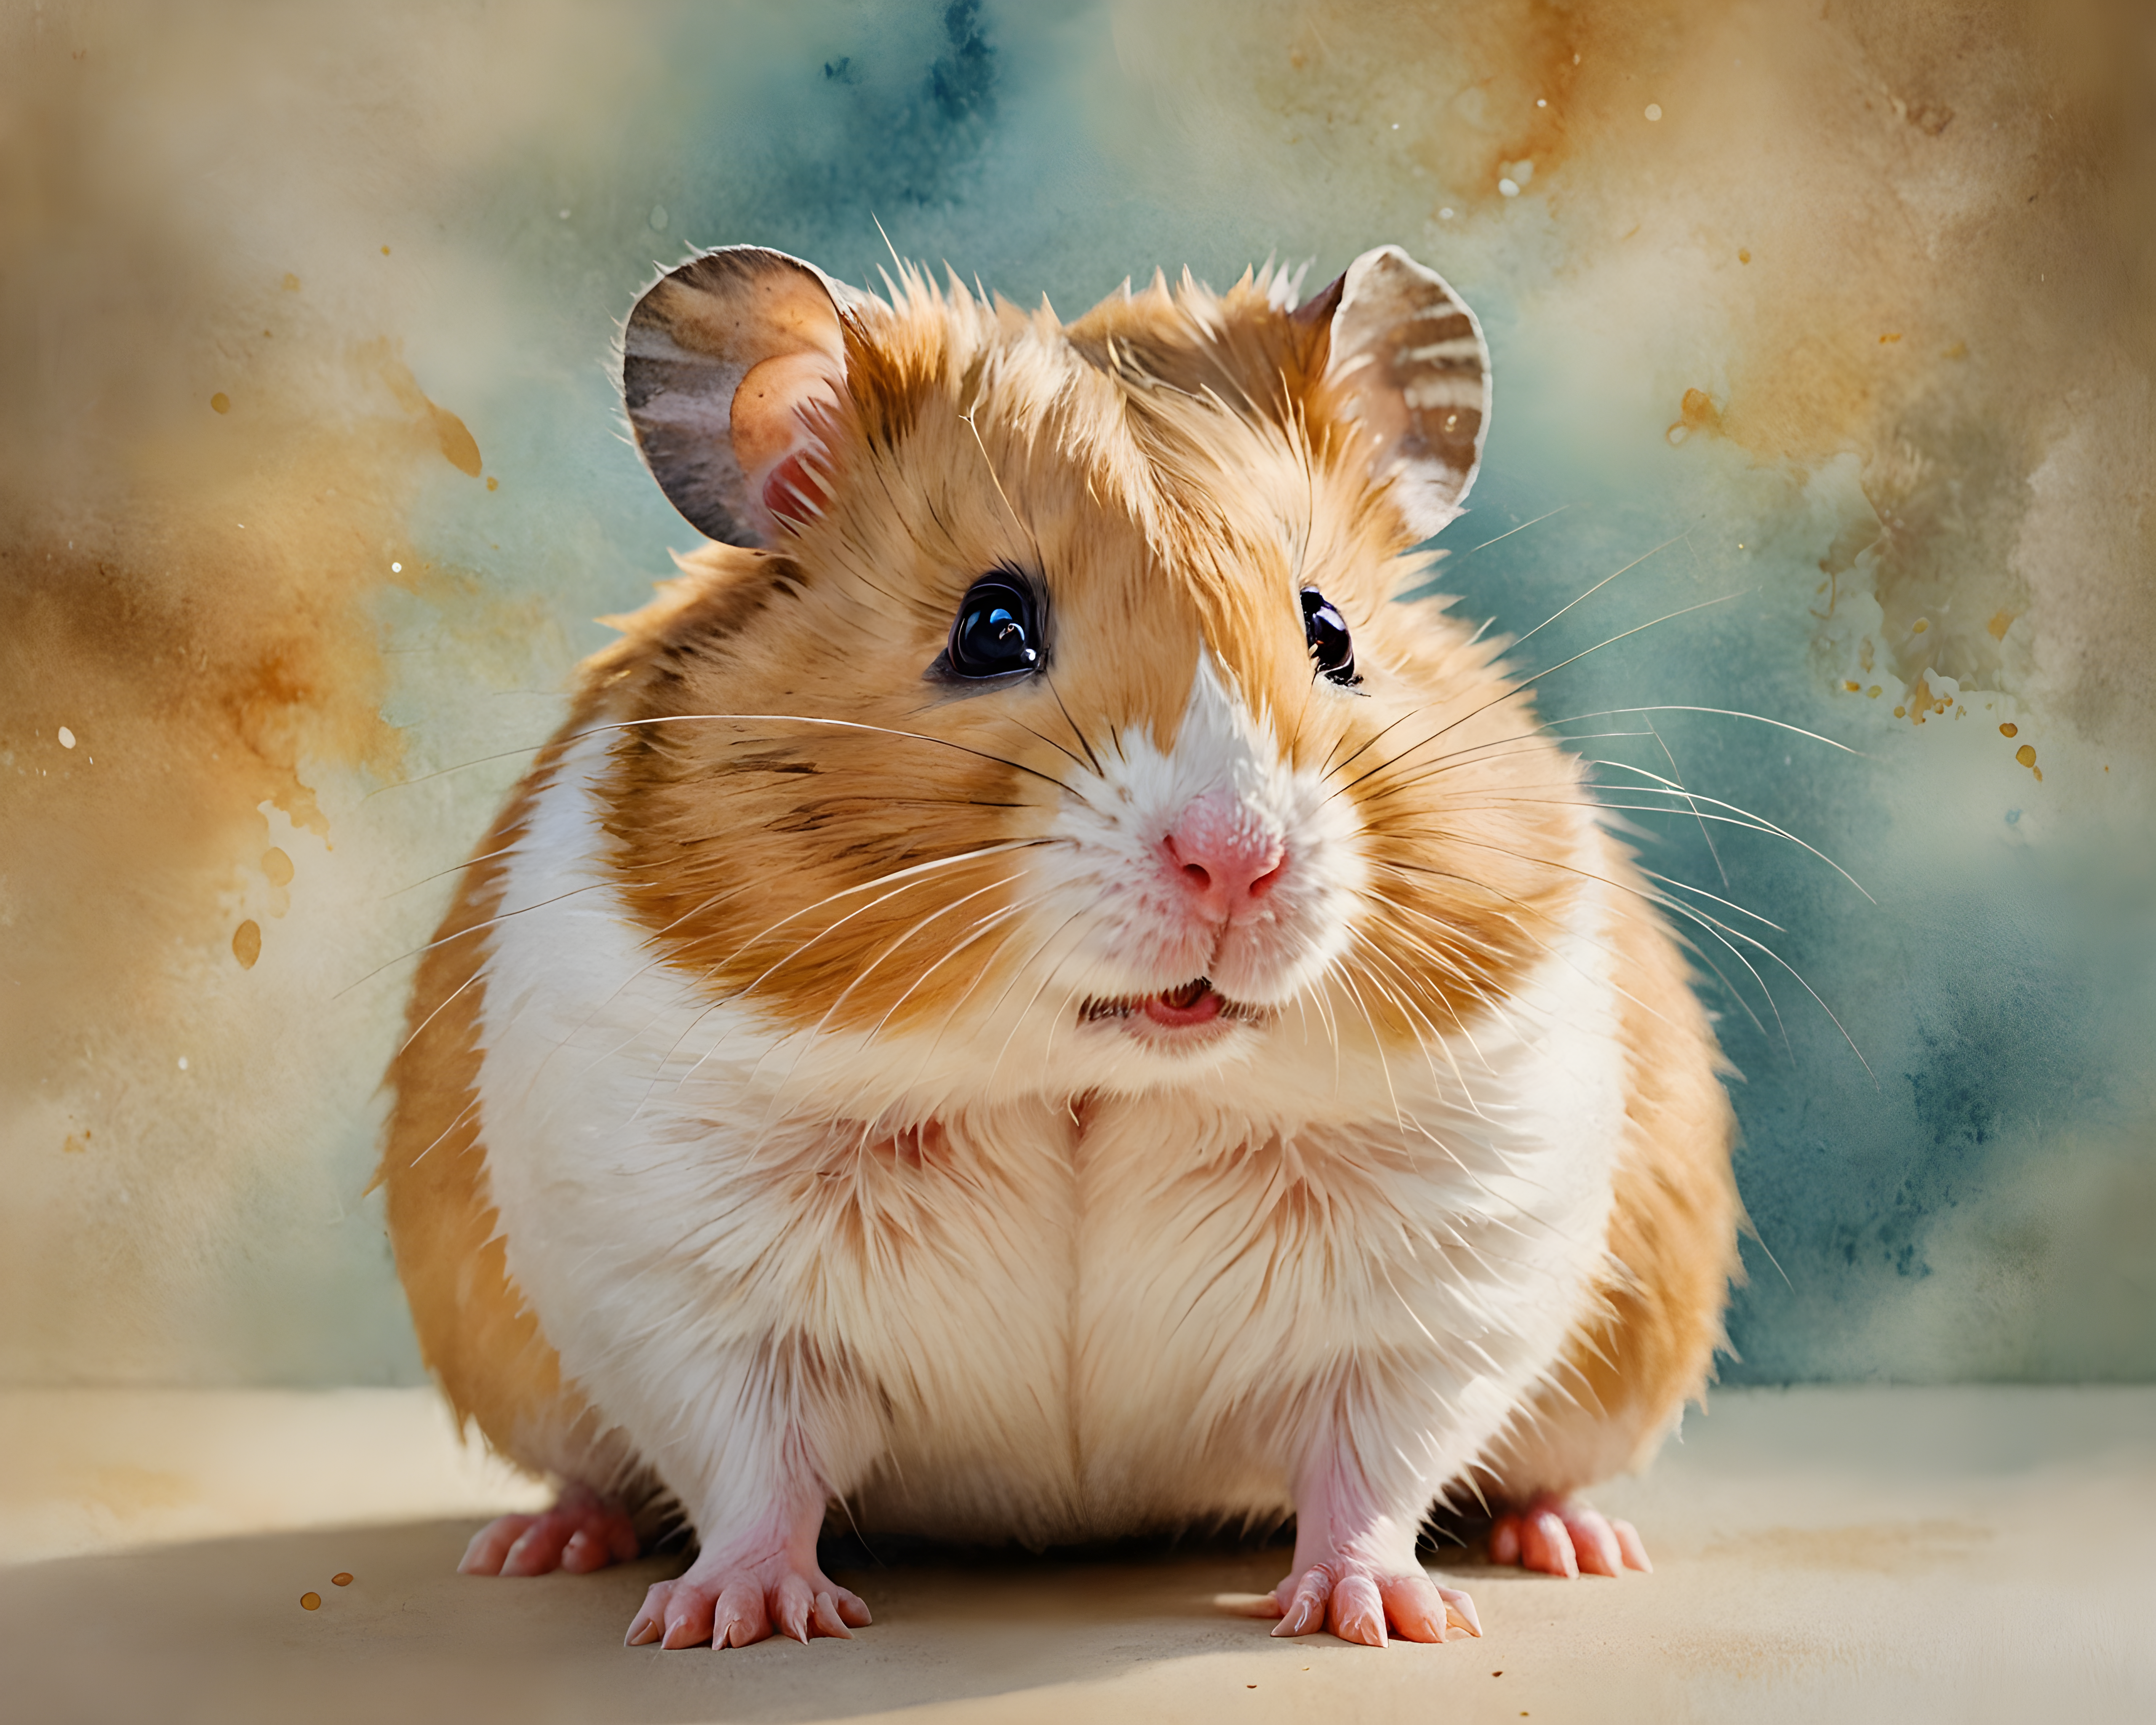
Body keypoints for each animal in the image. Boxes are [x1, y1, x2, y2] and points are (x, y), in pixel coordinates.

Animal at [379, 241, 1738, 1650]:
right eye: (989, 627)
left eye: (1331, 634)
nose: (1236, 860)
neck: (1085, 1076)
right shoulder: (689, 1269)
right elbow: (751, 1464)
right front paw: (731, 1622)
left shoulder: (1443, 1262)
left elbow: (1374, 1460)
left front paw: (1387, 1620)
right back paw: (536, 1546)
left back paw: (1576, 1545)